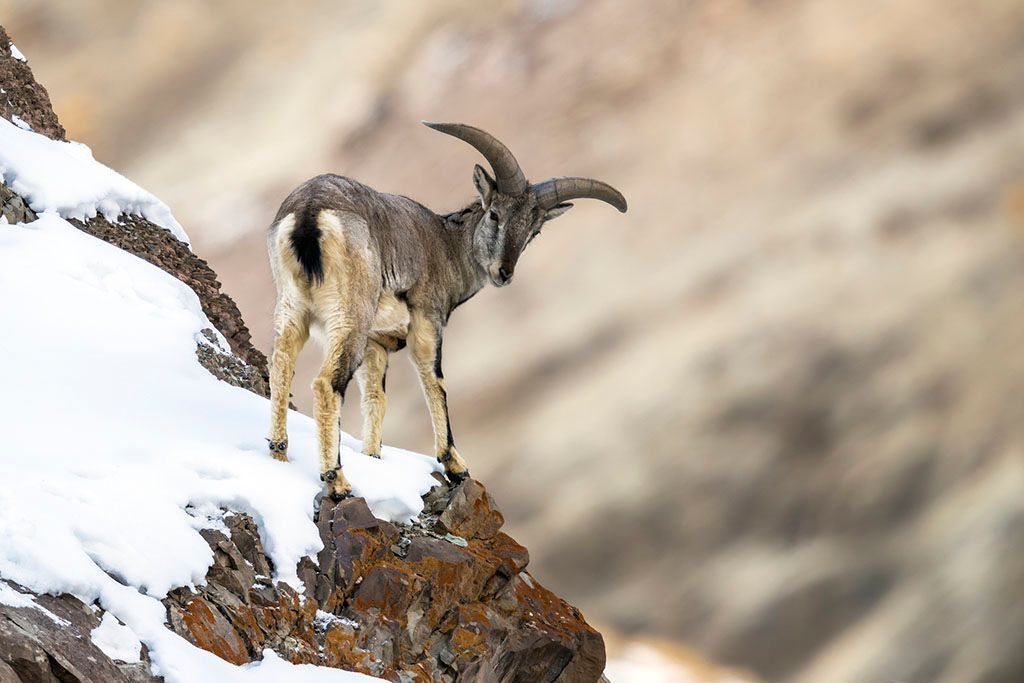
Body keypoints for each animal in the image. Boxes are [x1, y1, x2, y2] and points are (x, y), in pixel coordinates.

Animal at [266, 122, 627, 499]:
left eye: (534, 230)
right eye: (494, 213)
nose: (504, 272)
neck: (446, 245)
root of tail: (309, 214)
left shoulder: (377, 346)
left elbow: (377, 398)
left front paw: (373, 456)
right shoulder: (427, 319)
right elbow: (434, 379)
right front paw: (454, 463)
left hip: (293, 308)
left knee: (281, 363)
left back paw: (278, 452)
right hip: (350, 315)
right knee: (326, 383)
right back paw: (336, 480)